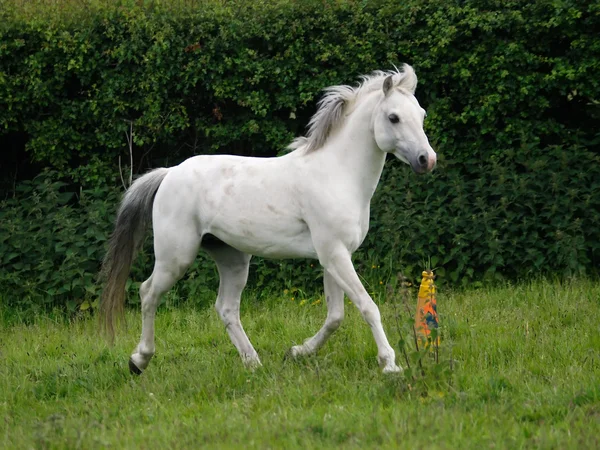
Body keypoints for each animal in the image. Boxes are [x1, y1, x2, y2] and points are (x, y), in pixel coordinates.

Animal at [98, 62, 436, 372]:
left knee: (226, 308)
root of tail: (169, 174)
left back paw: (253, 363)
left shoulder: (335, 256)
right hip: (175, 257)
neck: (336, 173)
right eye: (393, 117)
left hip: (232, 258)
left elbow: (335, 316)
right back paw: (139, 360)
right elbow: (368, 307)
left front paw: (298, 352)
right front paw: (390, 364)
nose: (427, 160)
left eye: (421, 115)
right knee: (148, 292)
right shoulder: (335, 255)